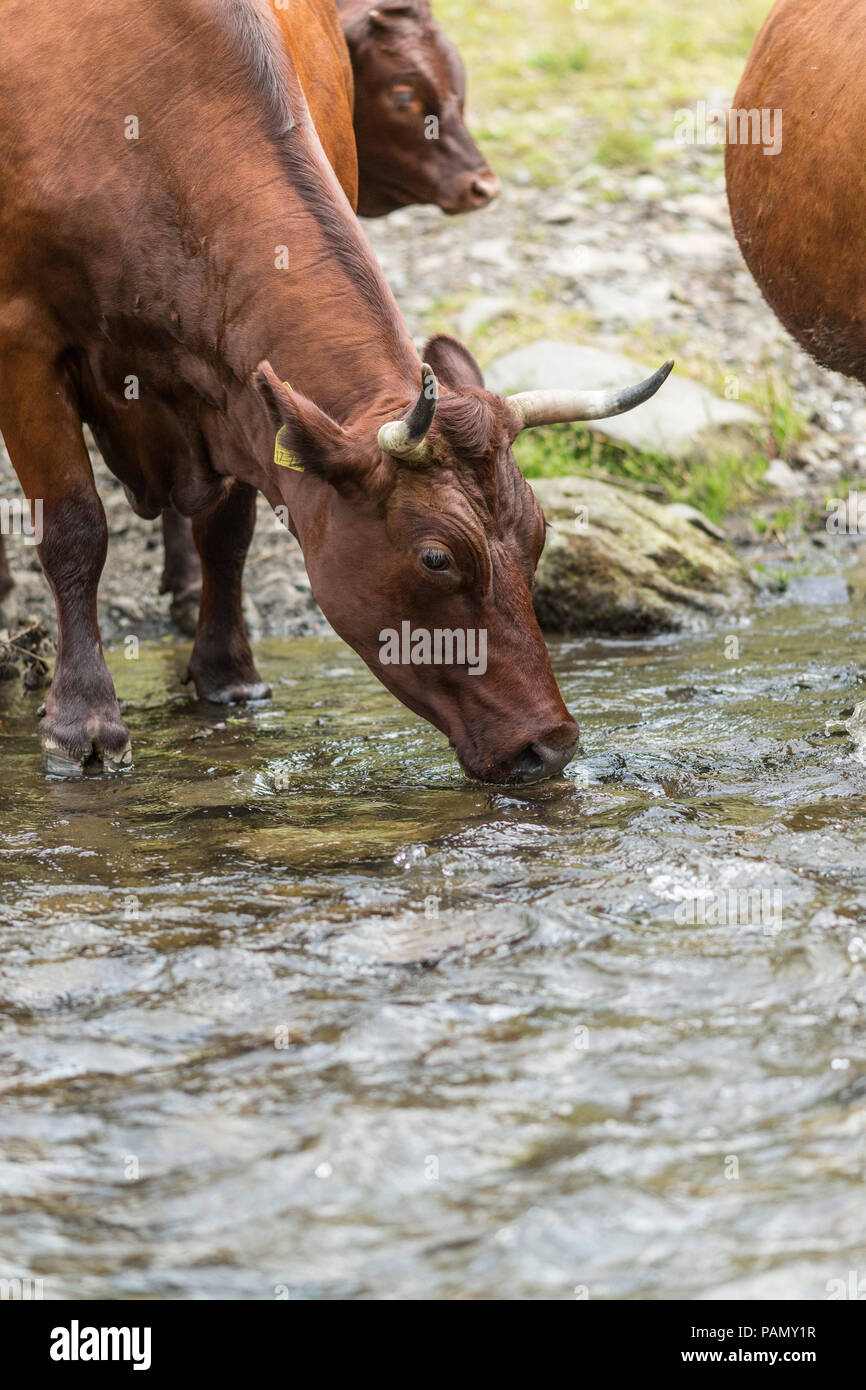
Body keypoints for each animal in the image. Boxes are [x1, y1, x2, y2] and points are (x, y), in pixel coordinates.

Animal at [0, 0, 670, 783]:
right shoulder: (24, 345)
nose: (551, 744)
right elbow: (74, 529)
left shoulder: (234, 388)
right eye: (436, 557)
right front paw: (83, 720)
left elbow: (227, 532)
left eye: (538, 534)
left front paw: (229, 675)